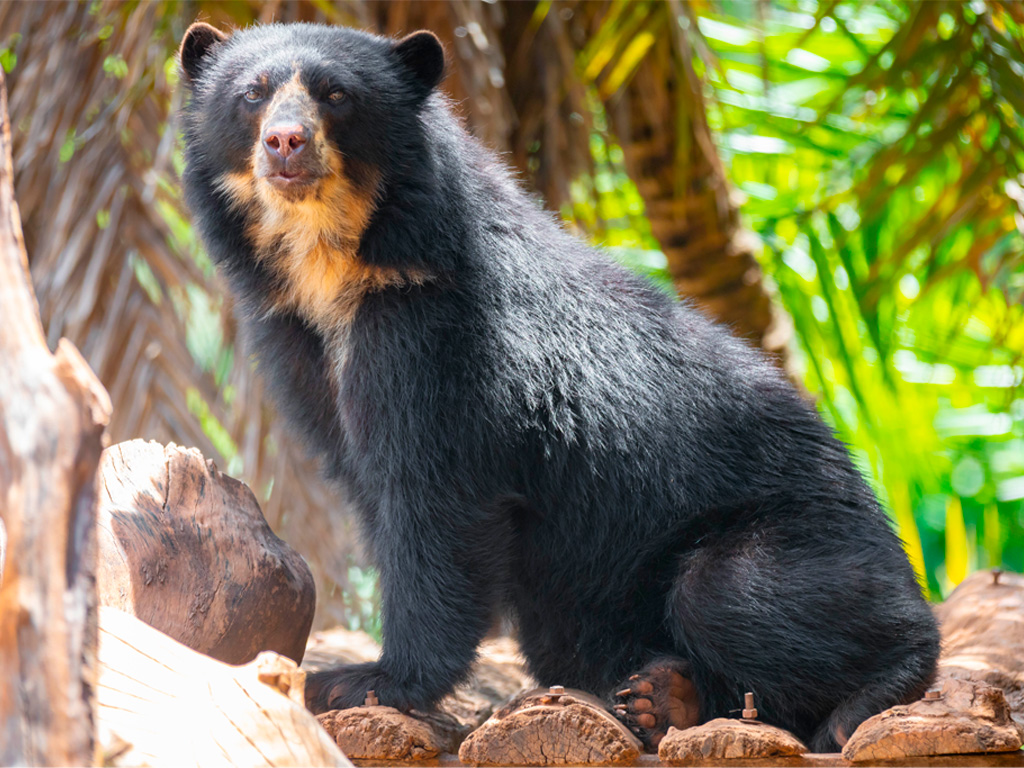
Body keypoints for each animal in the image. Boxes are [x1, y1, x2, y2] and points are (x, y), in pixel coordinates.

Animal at [178, 21, 939, 752]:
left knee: (735, 591)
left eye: (336, 95)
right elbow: (368, 478)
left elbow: (434, 504)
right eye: (253, 93)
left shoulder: (444, 341)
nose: (285, 141)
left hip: (803, 542)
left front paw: (364, 680)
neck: (338, 260)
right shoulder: (299, 348)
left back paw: (863, 694)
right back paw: (665, 696)